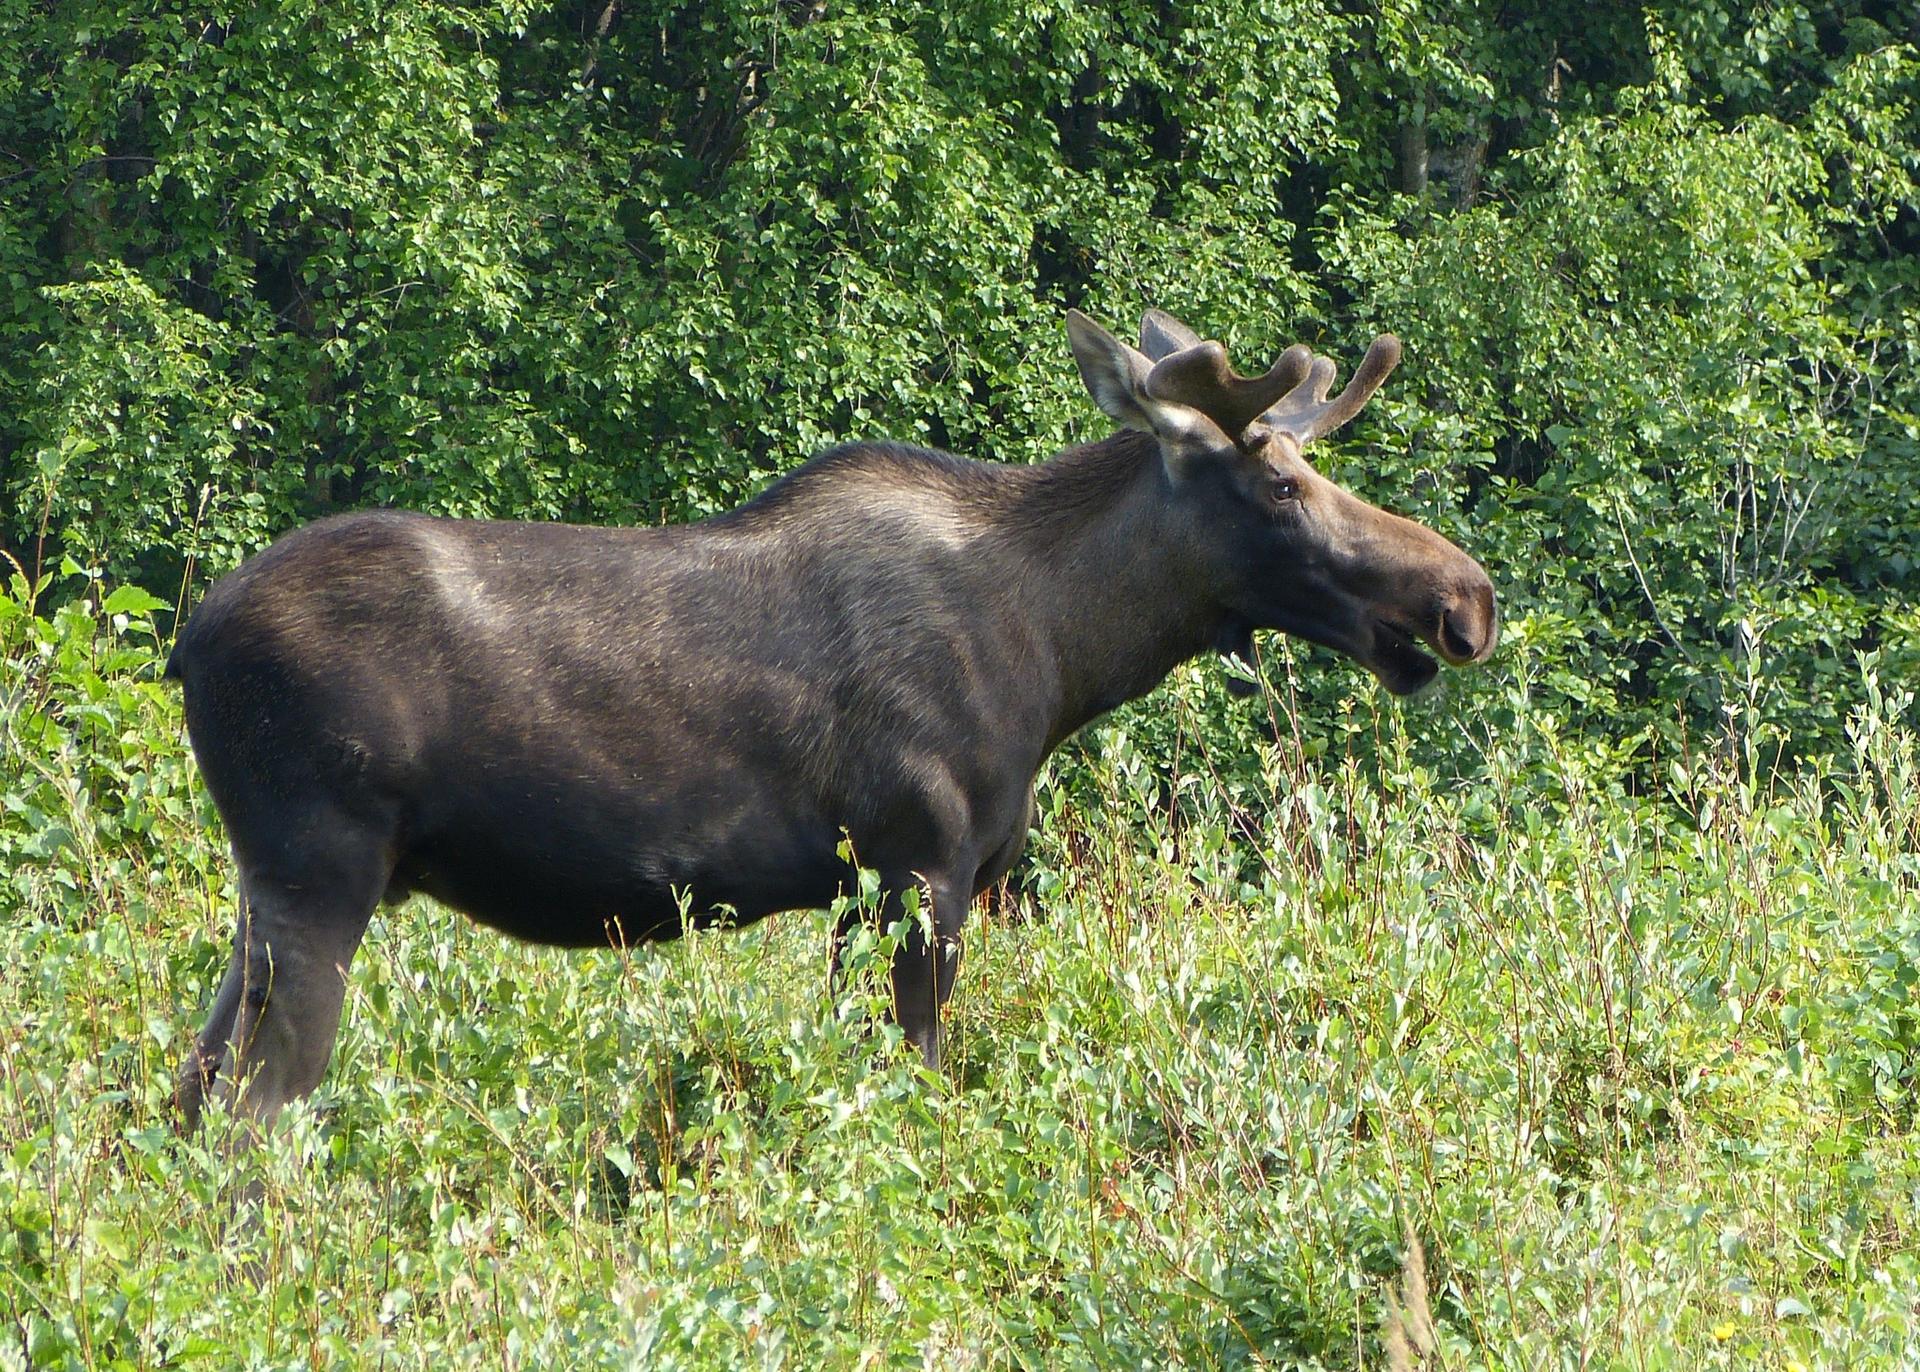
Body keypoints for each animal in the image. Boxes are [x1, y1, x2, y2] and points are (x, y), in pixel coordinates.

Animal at [166, 308, 1497, 1132]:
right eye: (1279, 481)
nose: (1464, 599)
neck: (1064, 655)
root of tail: (187, 646)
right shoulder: (917, 861)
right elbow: (920, 1076)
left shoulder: (873, 887)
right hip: (324, 866)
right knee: (251, 1115)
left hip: (267, 888)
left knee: (185, 1091)